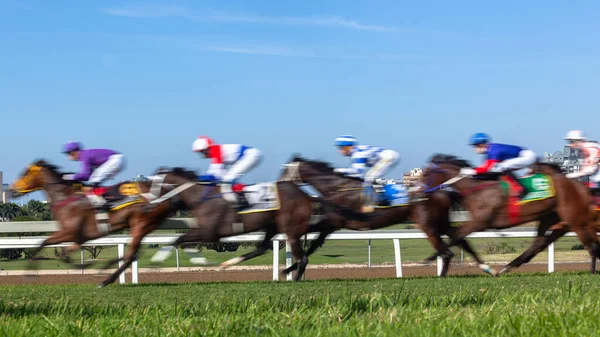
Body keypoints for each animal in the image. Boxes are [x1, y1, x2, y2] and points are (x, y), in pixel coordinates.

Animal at [10, 160, 179, 286]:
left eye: (25, 173)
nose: (11, 190)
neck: (65, 198)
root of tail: (164, 197)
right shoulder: (77, 237)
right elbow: (48, 246)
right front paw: (30, 273)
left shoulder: (71, 233)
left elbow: (57, 251)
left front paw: (84, 265)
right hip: (141, 226)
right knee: (133, 254)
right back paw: (107, 272)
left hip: (141, 224)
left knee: (131, 255)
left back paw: (106, 278)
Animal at [422, 154, 600, 272]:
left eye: (426, 174)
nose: (420, 191)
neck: (476, 189)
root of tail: (581, 187)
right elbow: (458, 237)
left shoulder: (480, 222)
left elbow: (457, 236)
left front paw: (432, 257)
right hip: (551, 218)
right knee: (539, 242)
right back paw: (509, 266)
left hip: (574, 219)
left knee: (590, 245)